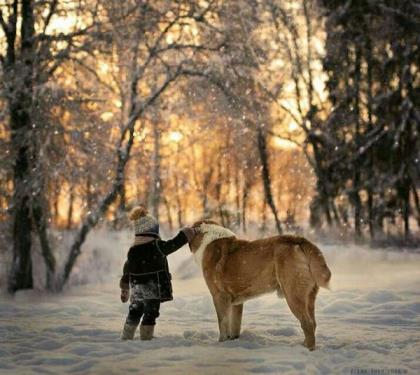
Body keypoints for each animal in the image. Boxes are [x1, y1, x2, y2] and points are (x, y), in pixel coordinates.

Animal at [189, 222, 332, 352]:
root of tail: (298, 240)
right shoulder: (236, 303)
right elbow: (235, 325)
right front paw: (233, 341)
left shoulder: (219, 296)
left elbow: (223, 324)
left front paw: (222, 343)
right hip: (309, 297)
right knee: (312, 322)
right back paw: (303, 345)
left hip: (293, 296)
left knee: (307, 323)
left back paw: (308, 350)